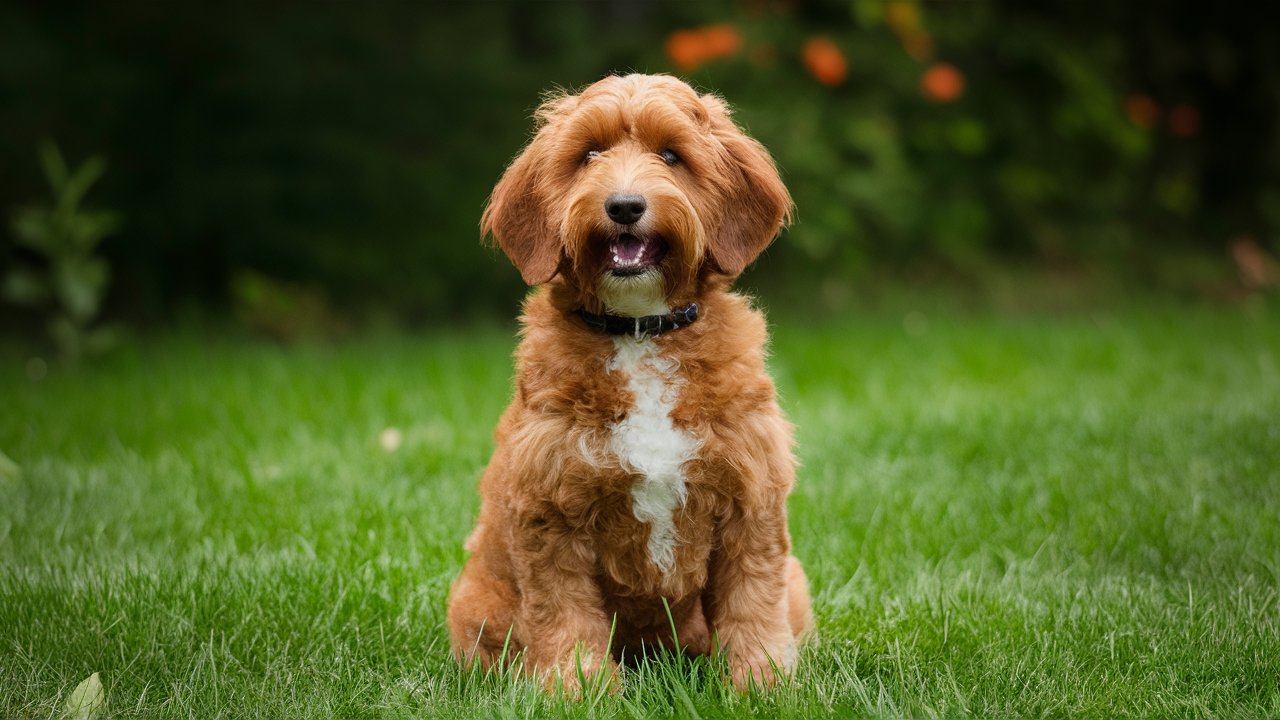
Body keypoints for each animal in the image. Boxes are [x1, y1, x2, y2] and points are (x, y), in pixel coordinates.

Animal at [448, 73, 808, 691]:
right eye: (589, 154)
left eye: (671, 155)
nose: (623, 205)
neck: (639, 328)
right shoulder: (550, 513)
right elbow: (564, 614)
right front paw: (576, 691)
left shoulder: (751, 502)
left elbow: (752, 603)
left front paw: (763, 686)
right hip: (477, 604)